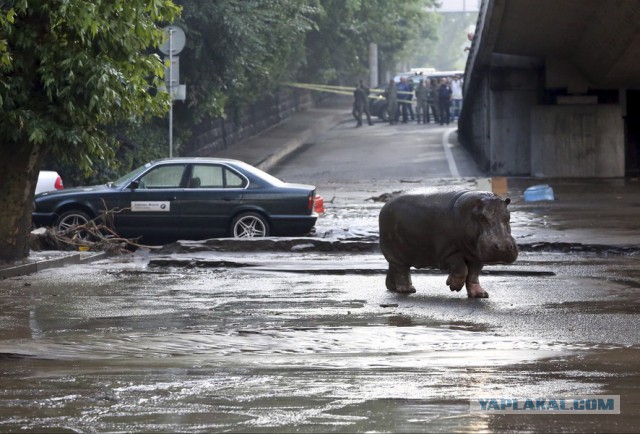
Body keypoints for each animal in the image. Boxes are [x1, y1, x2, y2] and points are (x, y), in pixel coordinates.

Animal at [378, 187, 516, 298]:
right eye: (481, 217)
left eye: (508, 216)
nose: (503, 247)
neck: (469, 212)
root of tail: (386, 204)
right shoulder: (448, 252)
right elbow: (461, 268)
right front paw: (453, 286)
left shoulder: (476, 255)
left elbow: (473, 275)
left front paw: (480, 295)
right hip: (396, 253)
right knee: (402, 271)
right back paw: (408, 290)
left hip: (398, 254)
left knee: (394, 268)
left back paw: (392, 287)